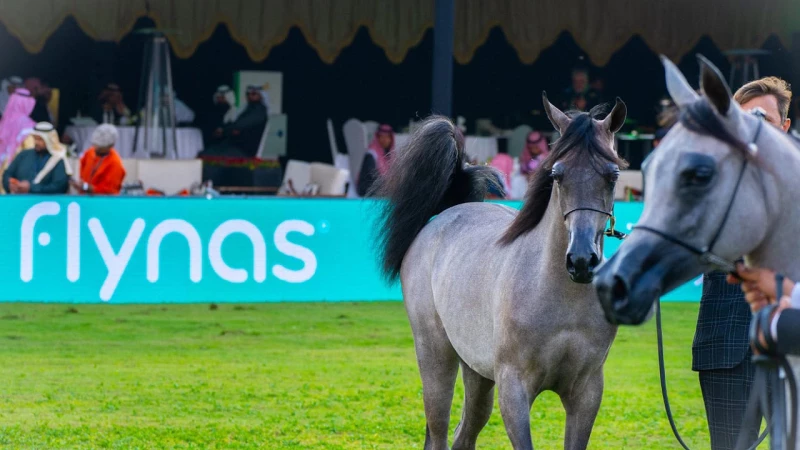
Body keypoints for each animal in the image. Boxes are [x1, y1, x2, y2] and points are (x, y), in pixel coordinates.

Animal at [376, 93, 632, 448]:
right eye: (556, 174)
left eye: (613, 175)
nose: (581, 260)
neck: (559, 297)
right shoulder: (514, 388)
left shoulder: (586, 391)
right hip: (435, 357)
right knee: (439, 432)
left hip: (477, 373)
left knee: (465, 433)